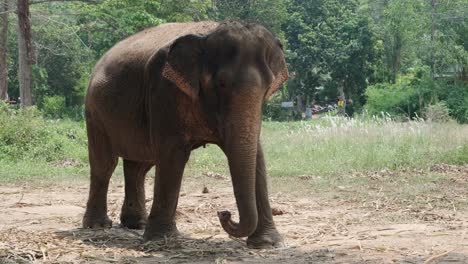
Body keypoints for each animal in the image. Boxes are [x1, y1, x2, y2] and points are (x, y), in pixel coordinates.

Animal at [83, 20, 288, 248]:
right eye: (221, 83)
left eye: (268, 86)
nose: (223, 213)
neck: (207, 36)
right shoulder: (164, 89)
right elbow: (172, 154)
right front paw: (162, 239)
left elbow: (257, 157)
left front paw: (268, 243)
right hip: (94, 113)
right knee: (105, 164)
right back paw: (98, 226)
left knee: (139, 165)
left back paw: (136, 224)